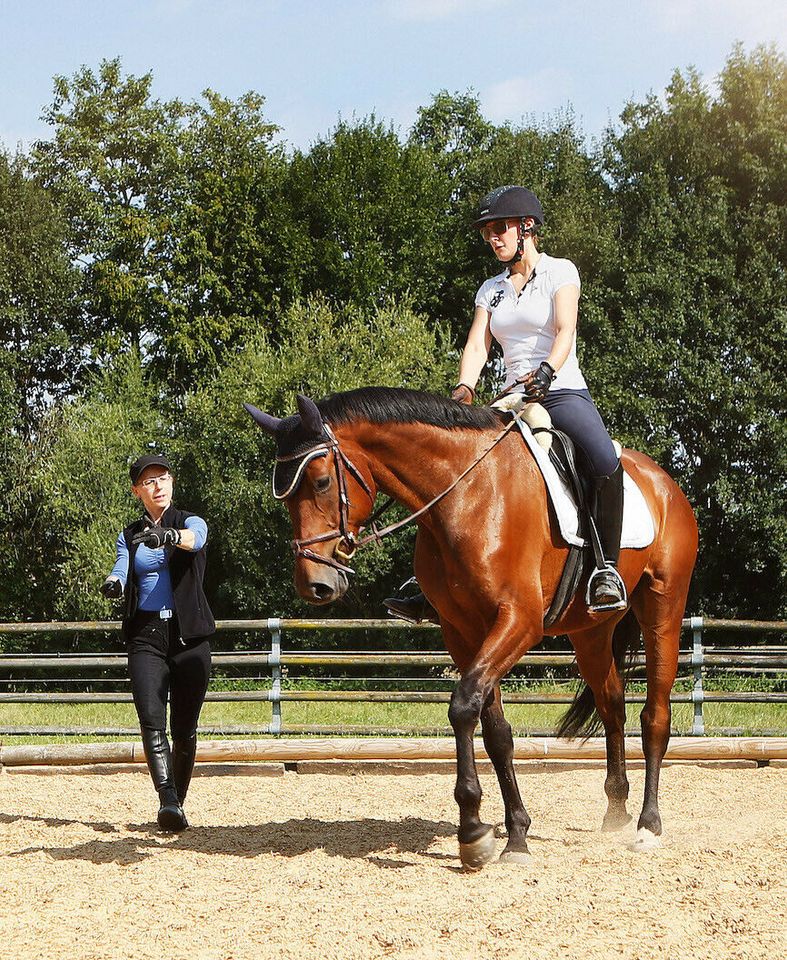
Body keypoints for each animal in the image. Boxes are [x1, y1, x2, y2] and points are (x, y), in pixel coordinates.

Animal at [245, 388, 696, 872]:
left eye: (322, 482)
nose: (315, 585)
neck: (466, 494)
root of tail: (664, 482)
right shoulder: (462, 630)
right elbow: (496, 732)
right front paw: (514, 834)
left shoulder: (518, 621)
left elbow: (463, 706)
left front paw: (473, 832)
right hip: (590, 631)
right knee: (612, 705)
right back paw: (616, 810)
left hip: (663, 610)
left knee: (654, 716)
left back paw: (648, 826)